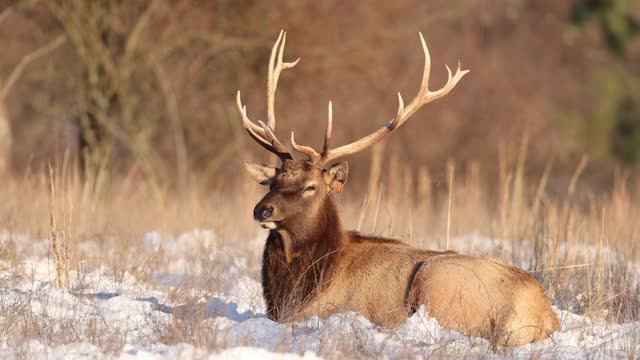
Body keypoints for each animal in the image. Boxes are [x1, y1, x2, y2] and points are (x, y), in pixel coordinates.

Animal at [236, 31, 560, 346]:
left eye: (310, 186)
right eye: (273, 180)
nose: (261, 210)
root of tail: (545, 316)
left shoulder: (325, 310)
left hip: (437, 281)